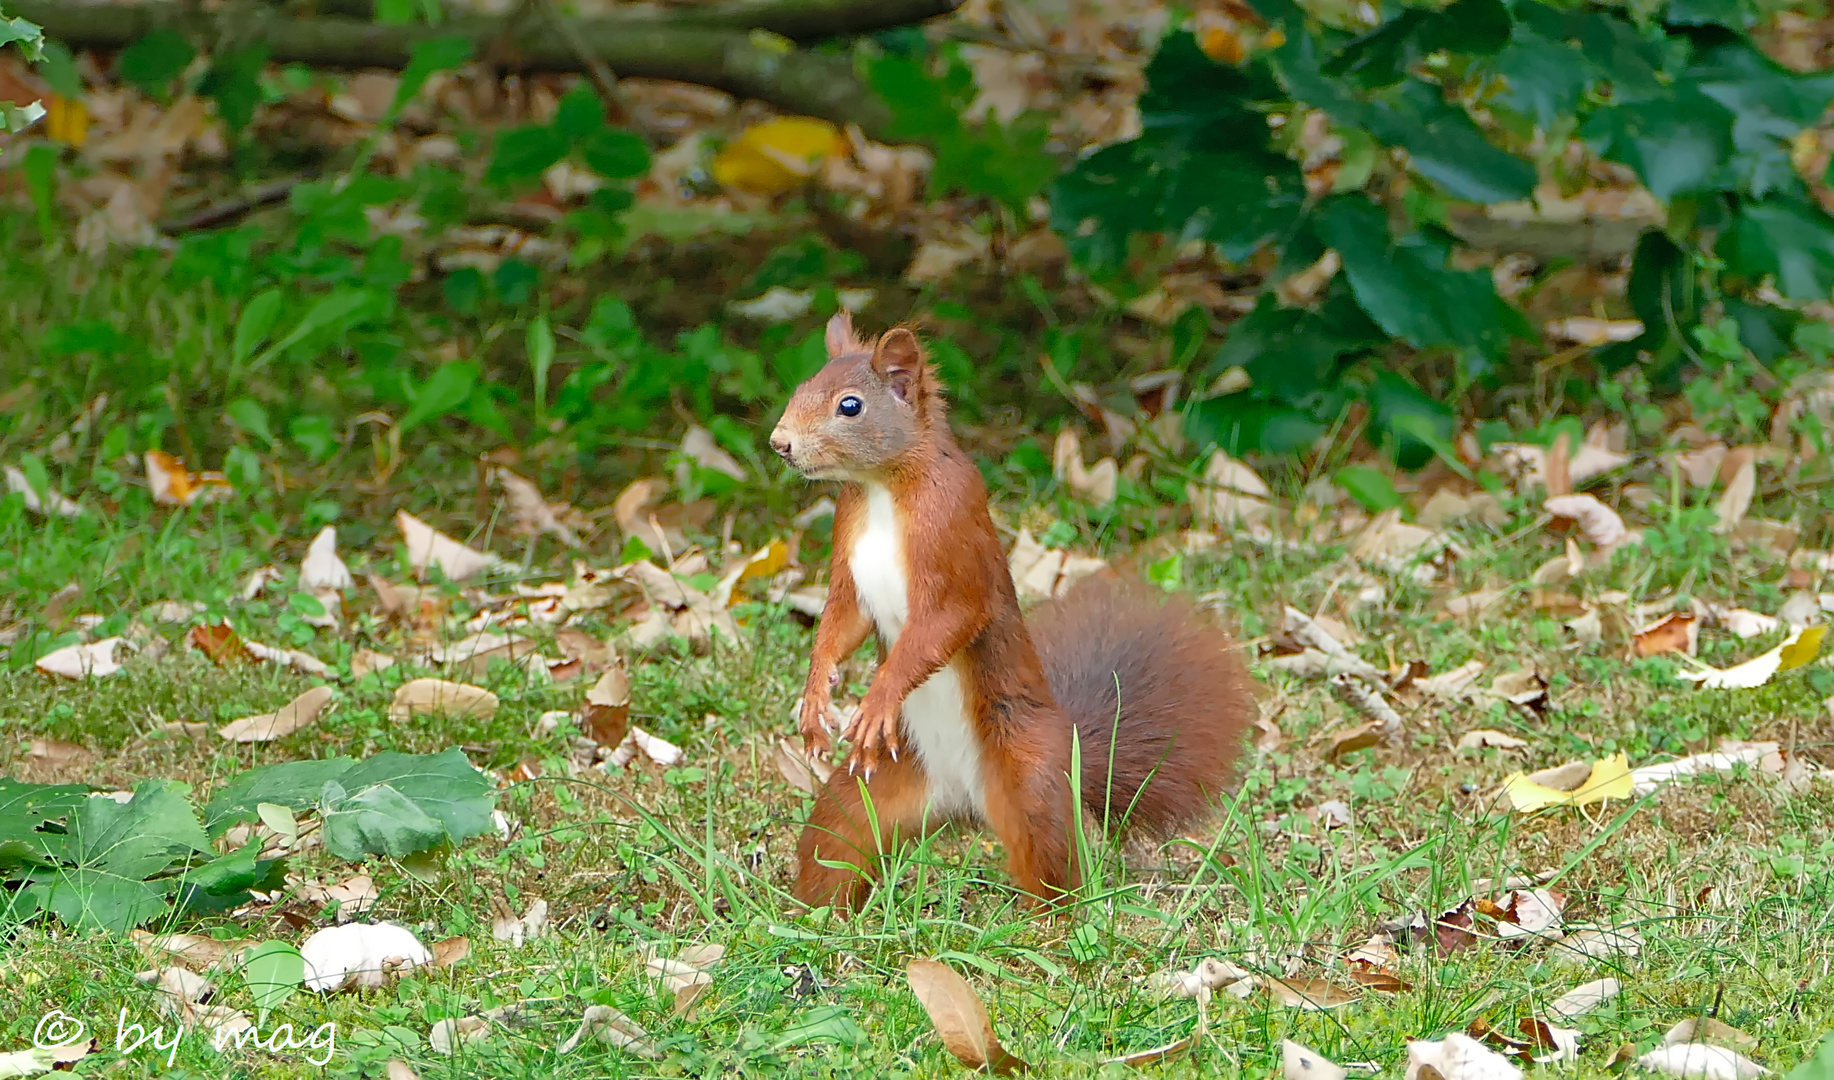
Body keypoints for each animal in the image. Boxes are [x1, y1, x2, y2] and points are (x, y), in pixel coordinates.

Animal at [766, 311, 1254, 909]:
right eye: (802, 386)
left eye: (850, 406)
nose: (780, 443)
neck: (881, 489)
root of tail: (962, 800)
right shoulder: (851, 558)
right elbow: (842, 622)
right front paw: (815, 695)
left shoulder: (953, 540)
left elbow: (946, 622)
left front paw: (878, 699)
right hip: (869, 792)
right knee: (834, 843)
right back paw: (817, 915)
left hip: (1029, 782)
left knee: (1053, 868)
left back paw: (1050, 920)